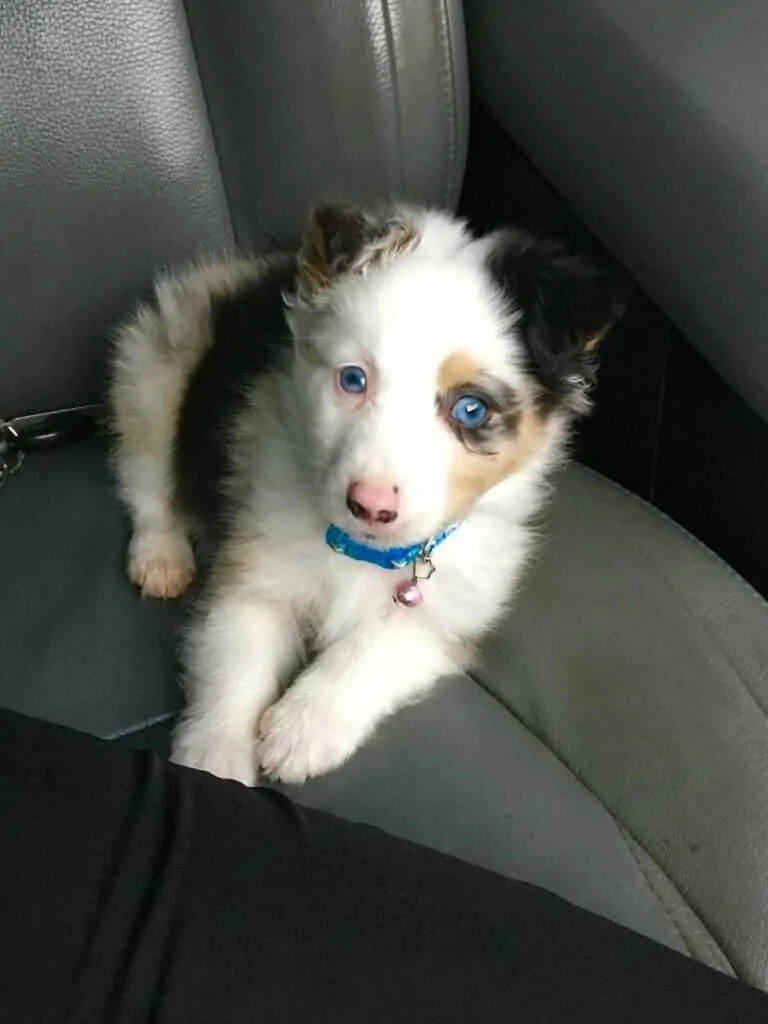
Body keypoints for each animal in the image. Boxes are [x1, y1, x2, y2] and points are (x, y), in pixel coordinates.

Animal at [112, 203, 630, 786]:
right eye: (353, 379)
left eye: (471, 409)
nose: (371, 506)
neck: (364, 552)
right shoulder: (255, 571)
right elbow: (233, 669)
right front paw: (214, 763)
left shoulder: (455, 610)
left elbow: (381, 644)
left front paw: (301, 728)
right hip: (156, 363)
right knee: (146, 475)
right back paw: (161, 557)